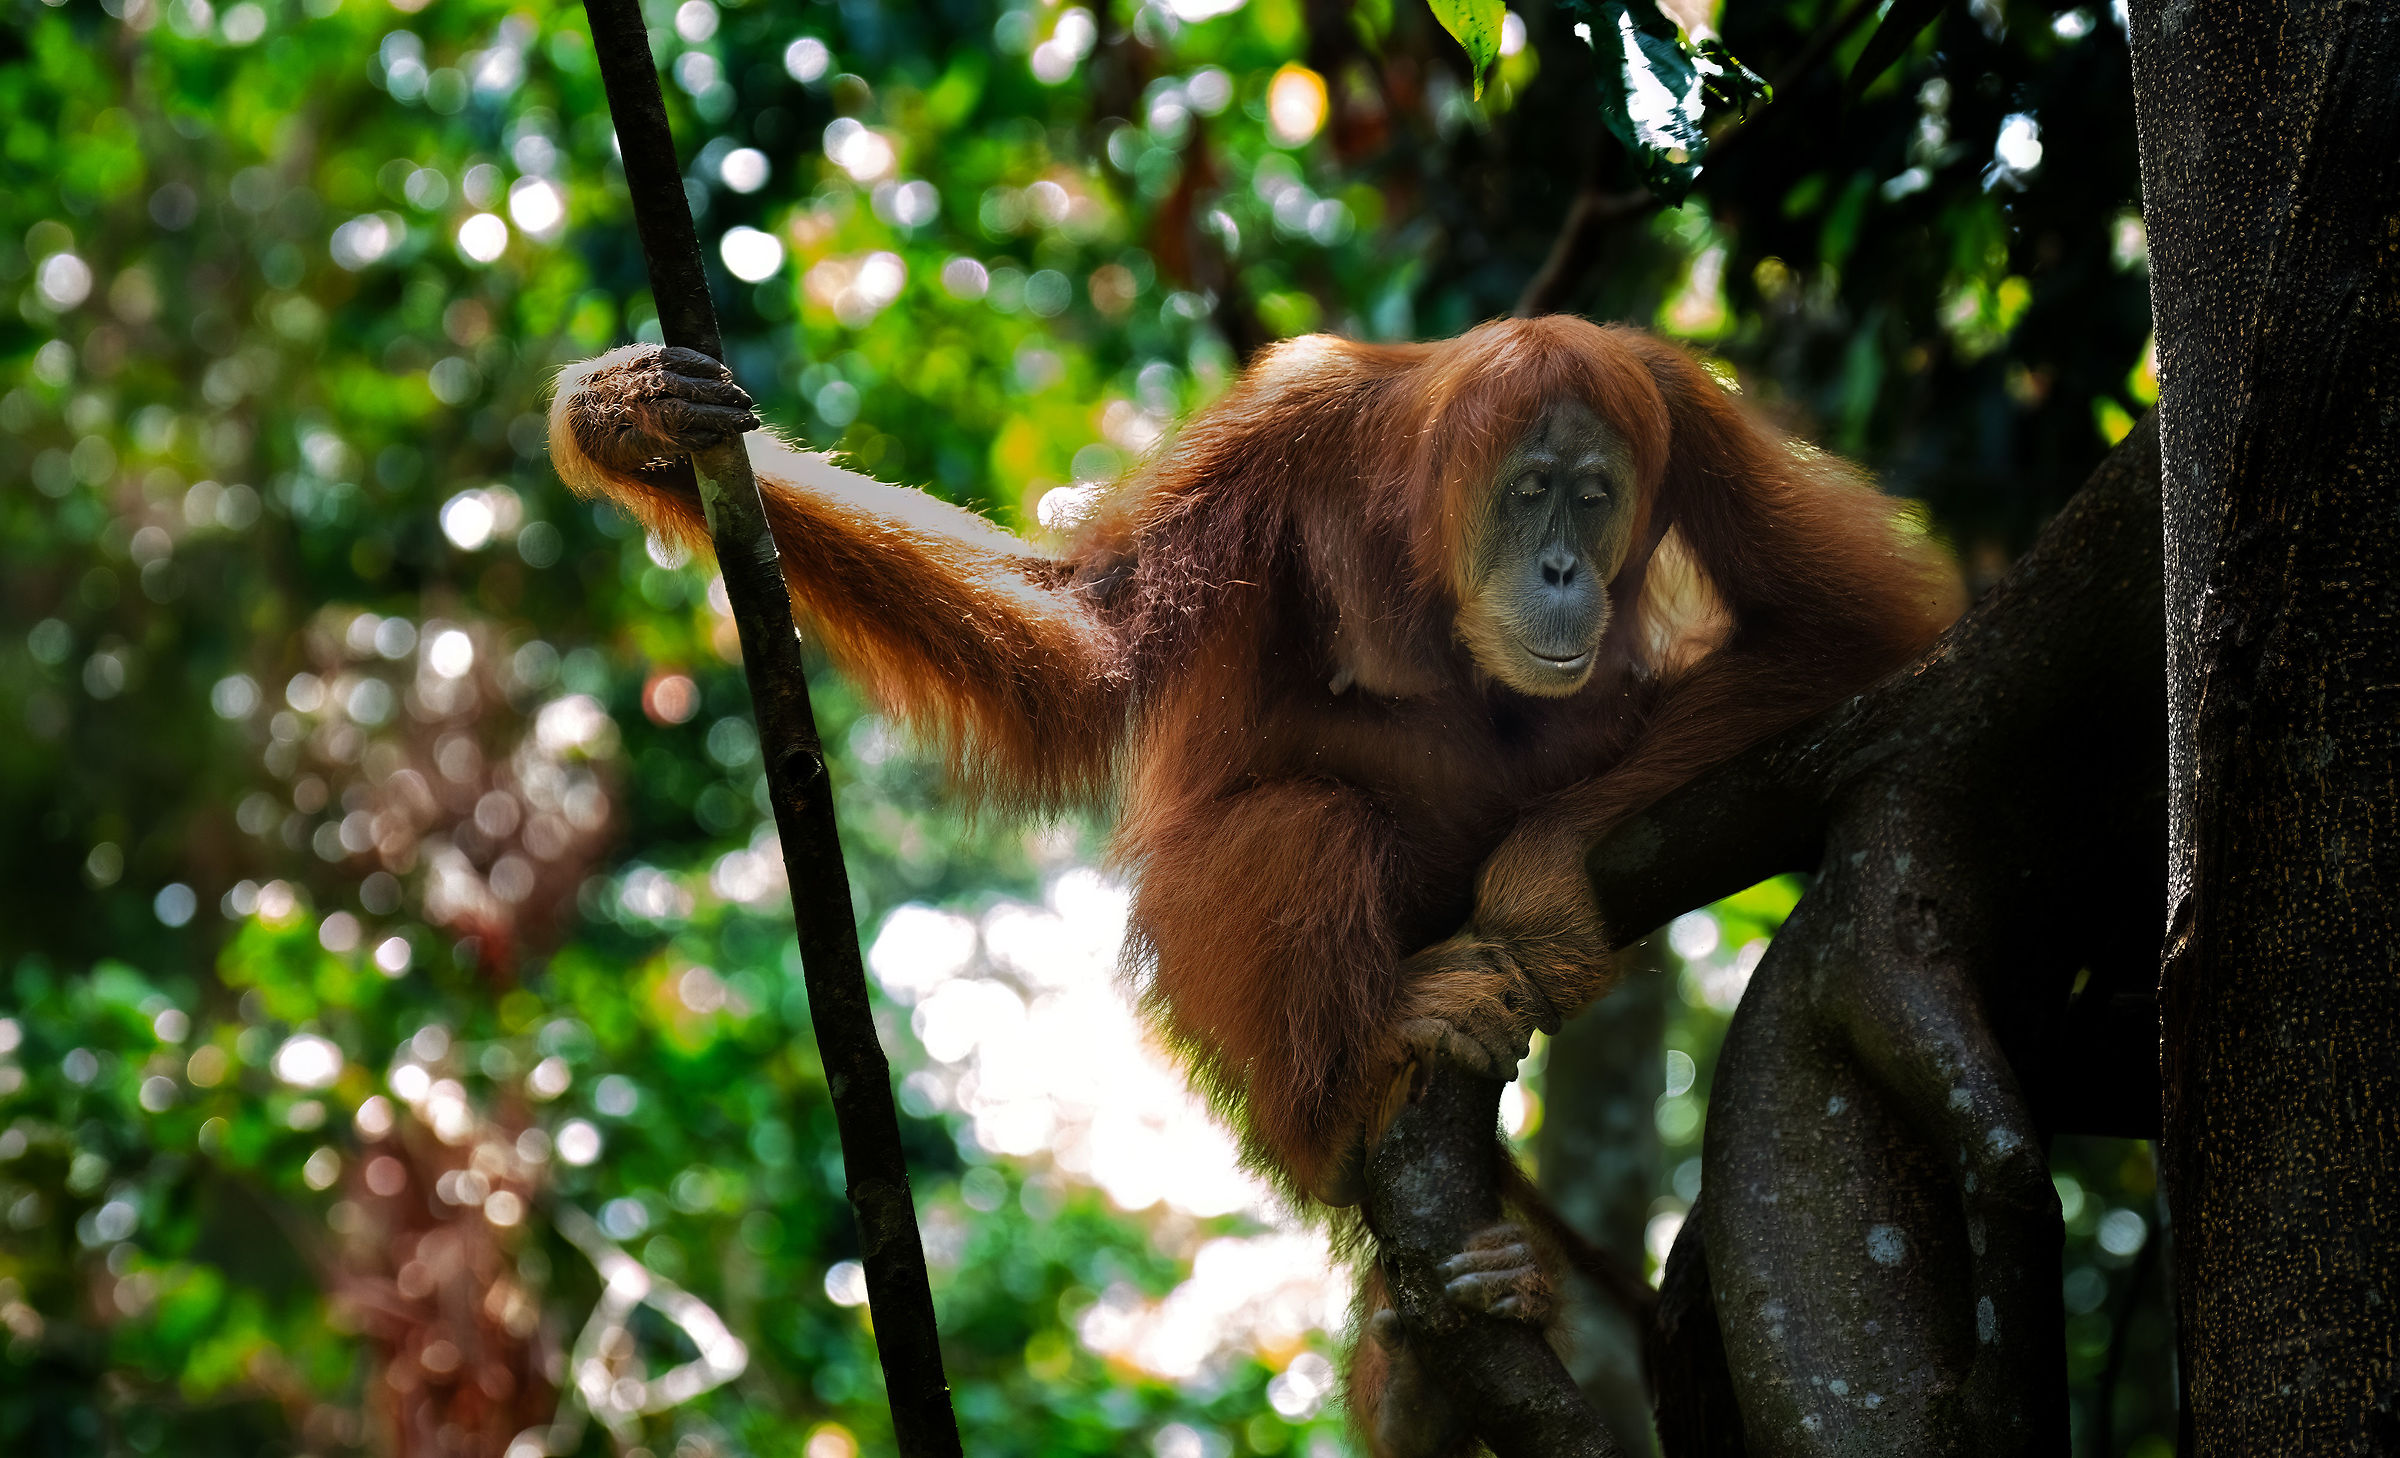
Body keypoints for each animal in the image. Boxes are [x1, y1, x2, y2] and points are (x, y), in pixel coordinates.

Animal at [548, 316, 1962, 1451]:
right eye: (1529, 495)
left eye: (1596, 495)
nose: (1566, 570)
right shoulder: (1292, 416)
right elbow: (1095, 646)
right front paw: (631, 424)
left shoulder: (1685, 411)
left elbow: (1851, 623)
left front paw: (1549, 866)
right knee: (1301, 821)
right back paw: (1345, 1110)